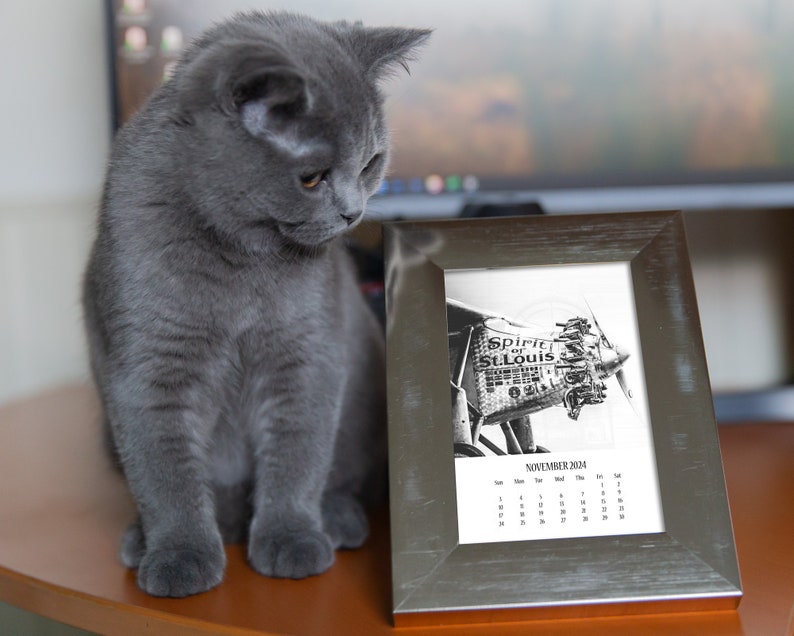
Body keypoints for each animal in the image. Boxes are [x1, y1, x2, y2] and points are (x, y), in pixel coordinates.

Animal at [81, 11, 426, 596]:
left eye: (371, 163)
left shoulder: (307, 356)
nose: (353, 213)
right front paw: (179, 555)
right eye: (311, 177)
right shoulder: (150, 368)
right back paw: (155, 536)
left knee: (345, 477)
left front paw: (291, 538)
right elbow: (165, 474)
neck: (242, 259)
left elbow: (295, 456)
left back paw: (336, 520)